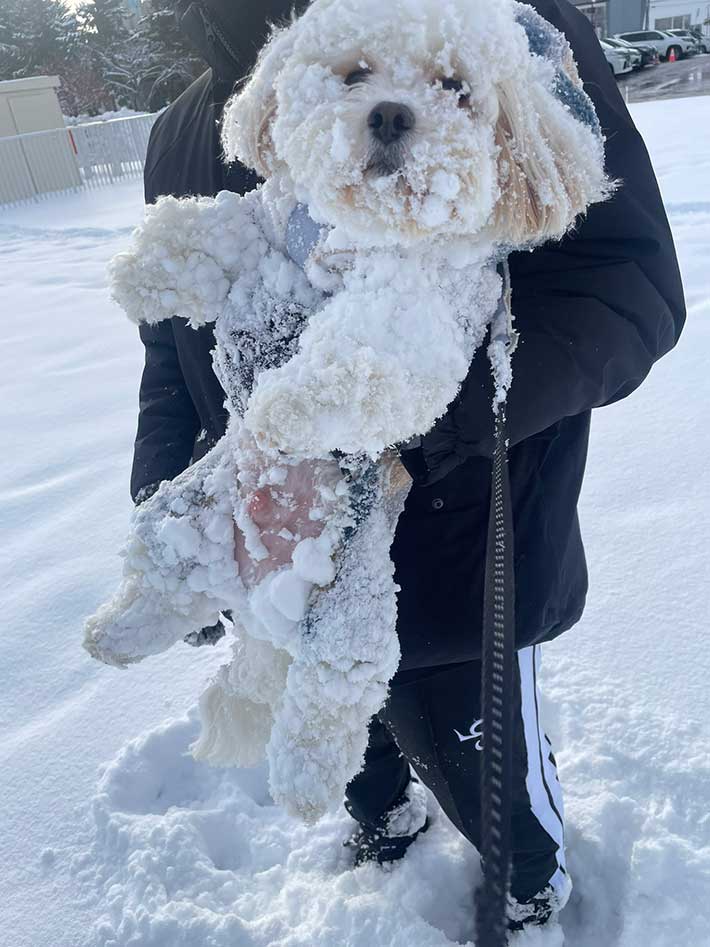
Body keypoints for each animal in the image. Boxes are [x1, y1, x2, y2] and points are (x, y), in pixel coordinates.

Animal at [86, 0, 612, 824]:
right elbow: (224, 225)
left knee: (337, 684)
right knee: (160, 588)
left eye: (456, 87)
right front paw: (143, 267)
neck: (358, 230)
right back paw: (108, 634)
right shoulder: (272, 234)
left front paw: (281, 408)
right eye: (355, 72)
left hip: (352, 605)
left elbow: (360, 357)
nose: (391, 114)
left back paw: (303, 784)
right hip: (177, 518)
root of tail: (258, 591)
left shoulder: (424, 310)